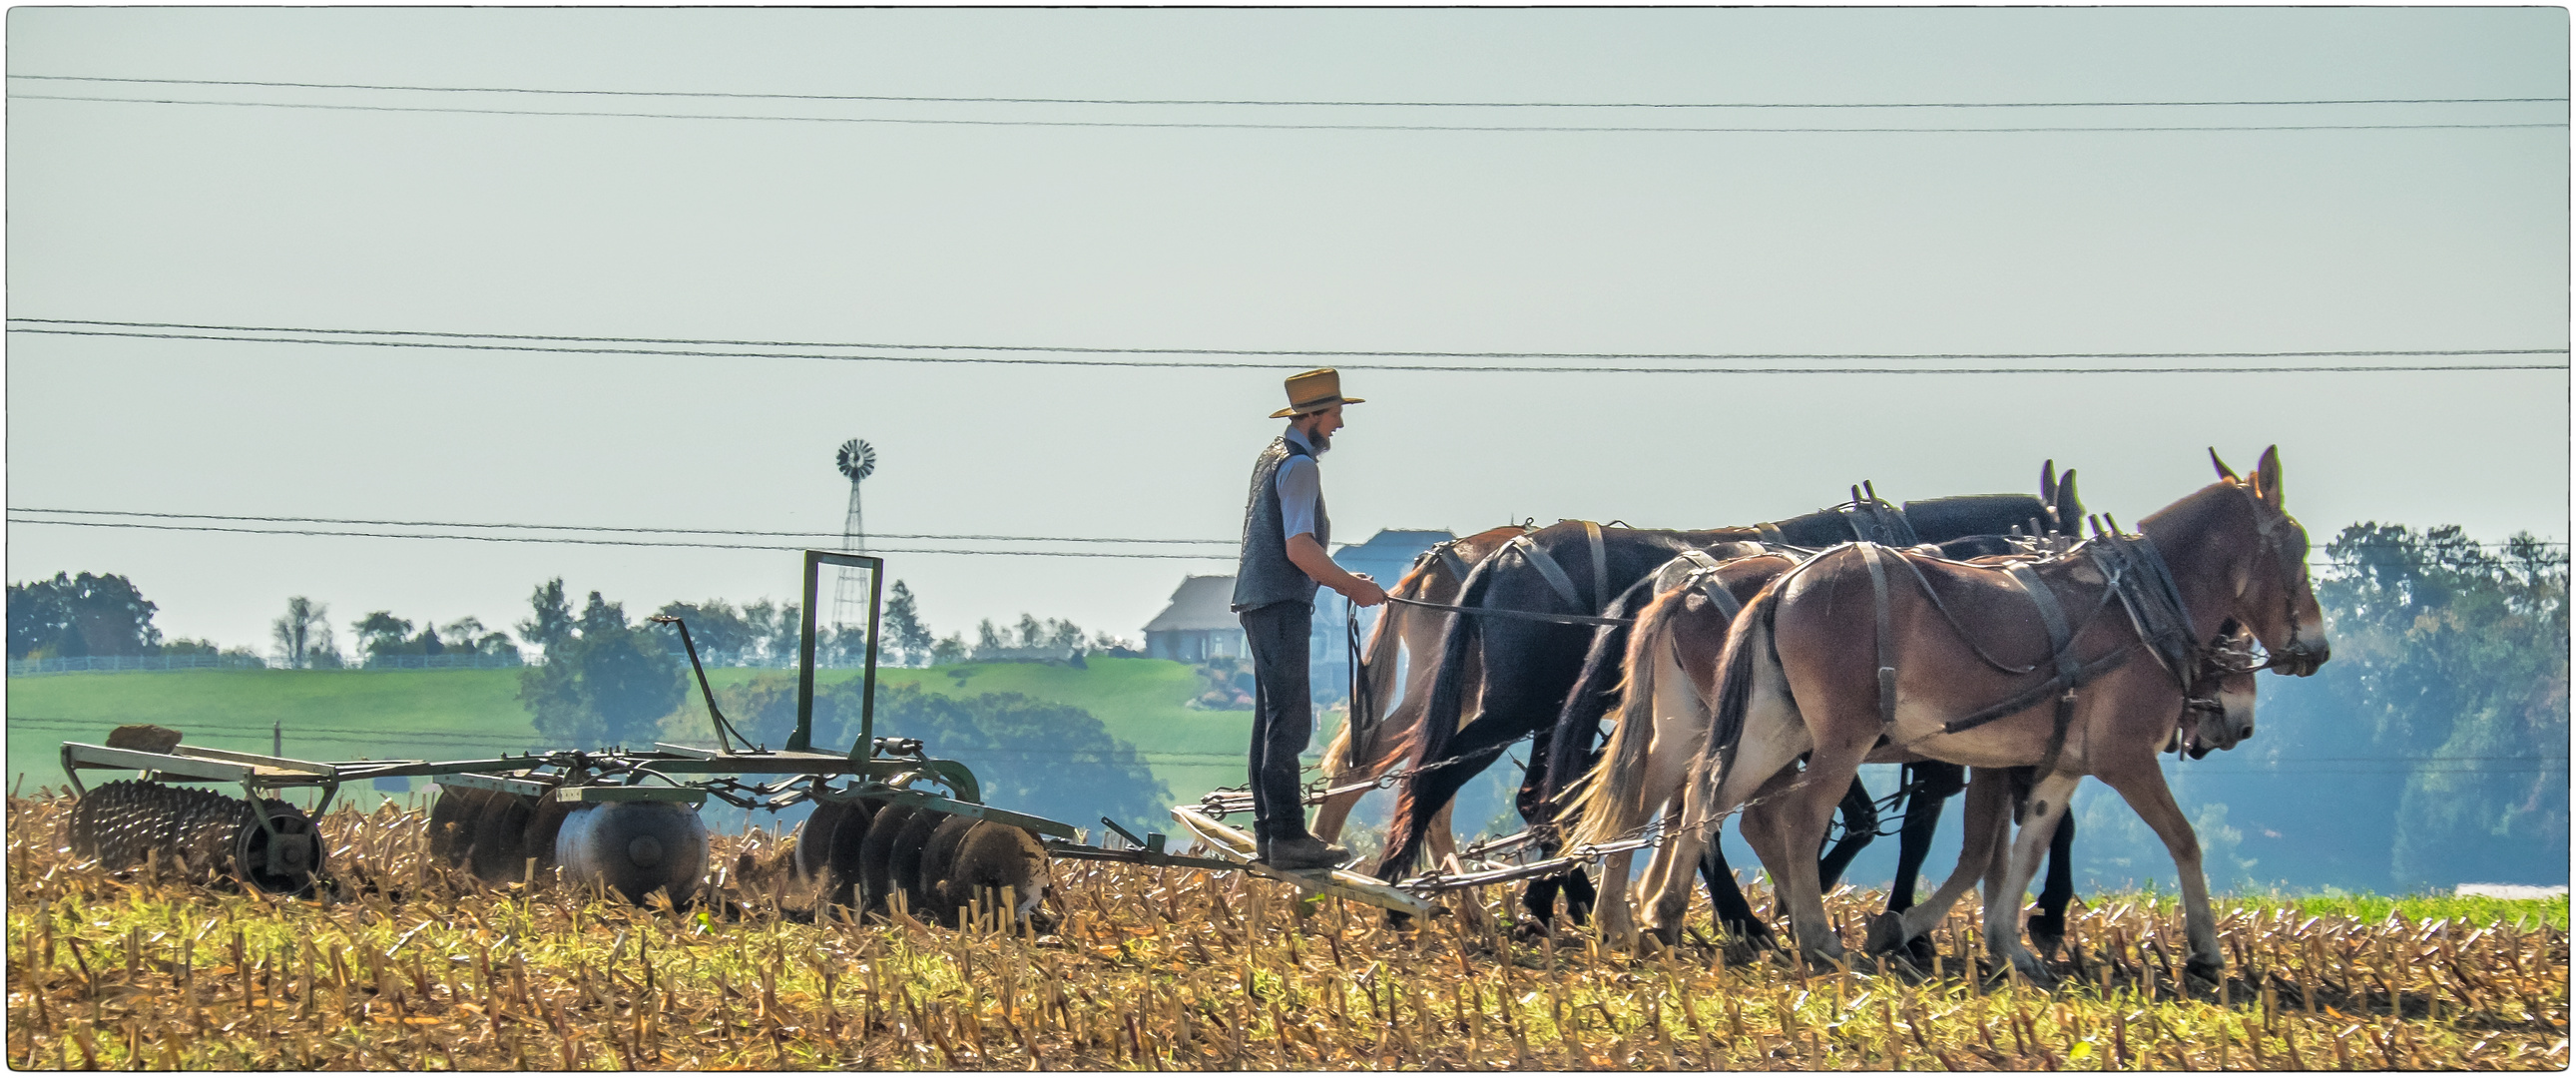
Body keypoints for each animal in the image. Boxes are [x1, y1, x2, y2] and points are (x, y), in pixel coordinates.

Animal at [1380, 466, 2081, 928]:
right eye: (2070, 527)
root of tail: (1499, 556)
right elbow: (1889, 821)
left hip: (1552, 712)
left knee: (1542, 795)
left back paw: (1549, 899)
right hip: (1520, 707)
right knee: (1437, 777)